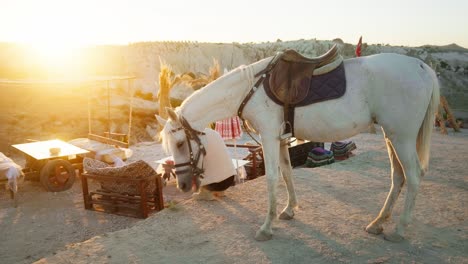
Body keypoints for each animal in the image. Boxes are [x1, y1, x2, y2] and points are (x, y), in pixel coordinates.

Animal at [157, 50, 438, 242]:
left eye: (180, 143)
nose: (183, 186)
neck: (249, 89)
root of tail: (422, 67)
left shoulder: (269, 138)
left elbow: (272, 178)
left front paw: (266, 227)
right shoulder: (281, 140)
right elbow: (287, 173)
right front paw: (289, 210)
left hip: (401, 137)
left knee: (413, 176)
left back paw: (399, 229)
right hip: (392, 137)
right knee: (398, 177)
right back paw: (379, 222)